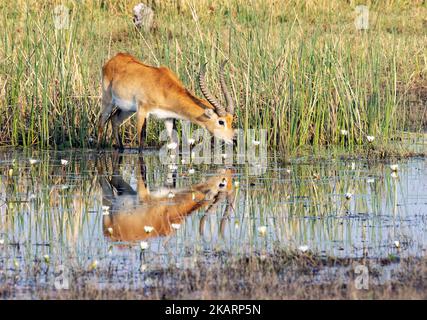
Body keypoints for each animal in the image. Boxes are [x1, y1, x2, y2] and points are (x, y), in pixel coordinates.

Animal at [98, 52, 236, 152]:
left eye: (231, 120)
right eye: (221, 121)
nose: (234, 140)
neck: (163, 87)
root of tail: (115, 57)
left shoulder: (168, 118)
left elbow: (174, 142)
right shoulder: (142, 112)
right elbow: (141, 143)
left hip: (127, 109)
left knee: (114, 119)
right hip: (108, 102)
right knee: (101, 122)